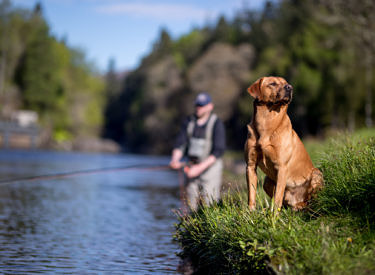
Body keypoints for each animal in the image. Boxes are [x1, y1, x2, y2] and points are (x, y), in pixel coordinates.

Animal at [244, 76, 324, 210]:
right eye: (272, 84)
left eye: (286, 83)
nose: (290, 87)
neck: (266, 122)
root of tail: (295, 201)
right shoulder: (250, 165)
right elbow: (251, 194)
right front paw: (250, 212)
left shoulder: (281, 167)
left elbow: (277, 198)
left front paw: (274, 215)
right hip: (267, 181)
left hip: (316, 174)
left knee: (310, 200)